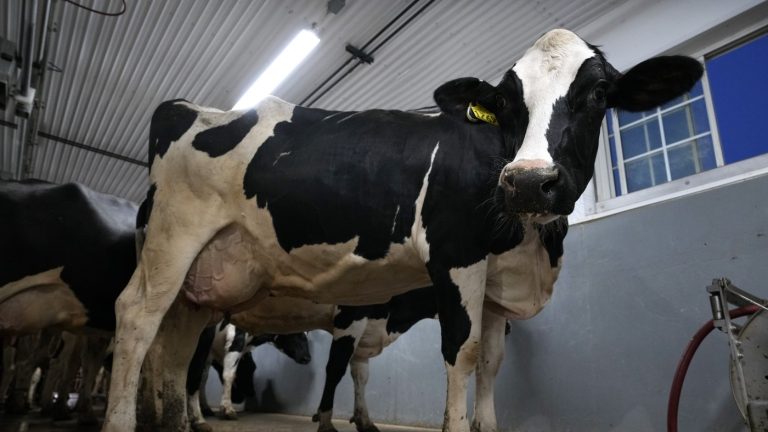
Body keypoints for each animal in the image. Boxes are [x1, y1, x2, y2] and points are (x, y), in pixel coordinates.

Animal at [103, 29, 703, 432]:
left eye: (599, 95)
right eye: (506, 102)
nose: (530, 183)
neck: (535, 249)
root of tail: (186, 108)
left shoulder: (496, 286)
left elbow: (491, 363)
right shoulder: (456, 255)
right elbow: (461, 353)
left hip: (203, 286)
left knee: (175, 349)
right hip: (174, 236)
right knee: (138, 318)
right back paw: (124, 420)